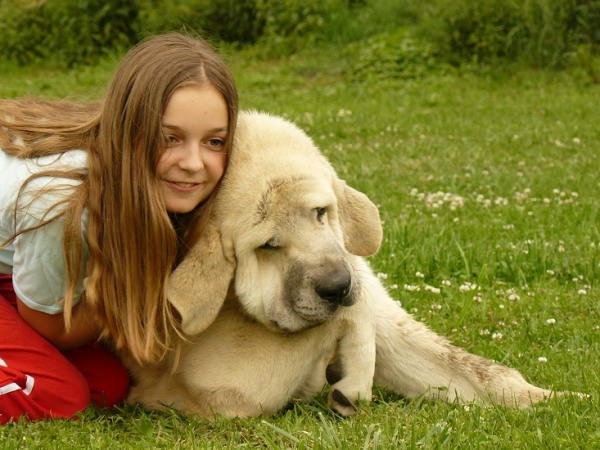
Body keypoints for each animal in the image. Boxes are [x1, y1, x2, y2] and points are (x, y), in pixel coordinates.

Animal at [126, 110, 556, 418]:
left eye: (320, 212)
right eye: (269, 246)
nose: (336, 285)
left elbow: (471, 370)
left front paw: (553, 397)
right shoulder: (224, 384)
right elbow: (342, 317)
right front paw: (353, 382)